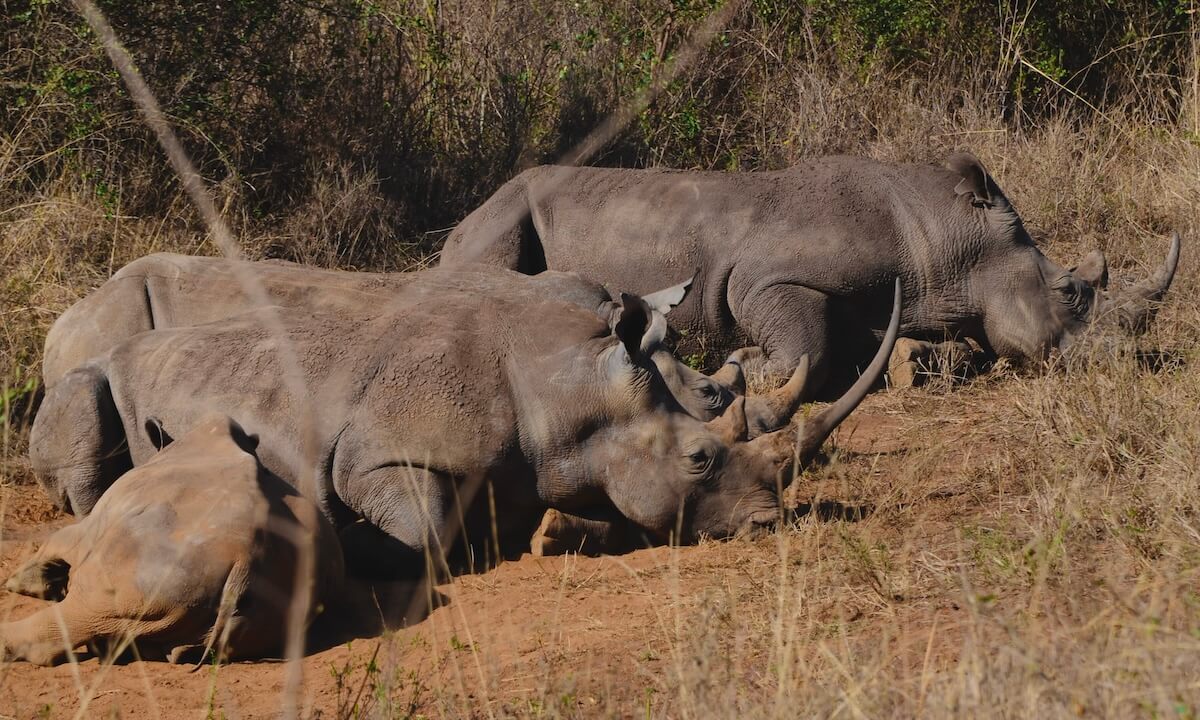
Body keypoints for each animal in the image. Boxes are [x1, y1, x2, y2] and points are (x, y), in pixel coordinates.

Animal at [2, 414, 343, 666]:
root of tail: (245, 563)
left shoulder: (92, 525)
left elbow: (57, 541)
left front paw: (20, 583)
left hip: (155, 567)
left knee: (86, 608)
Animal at [29, 275, 901, 576]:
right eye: (699, 459)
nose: (767, 524)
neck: (567, 390)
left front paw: (549, 536)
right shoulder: (380, 457)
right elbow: (424, 534)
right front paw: (351, 544)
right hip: (85, 366)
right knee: (84, 408)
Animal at [440, 153, 1181, 396]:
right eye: (1070, 292)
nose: (1127, 360)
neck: (945, 245)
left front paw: (911, 362)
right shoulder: (763, 280)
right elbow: (809, 348)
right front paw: (745, 366)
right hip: (499, 218)